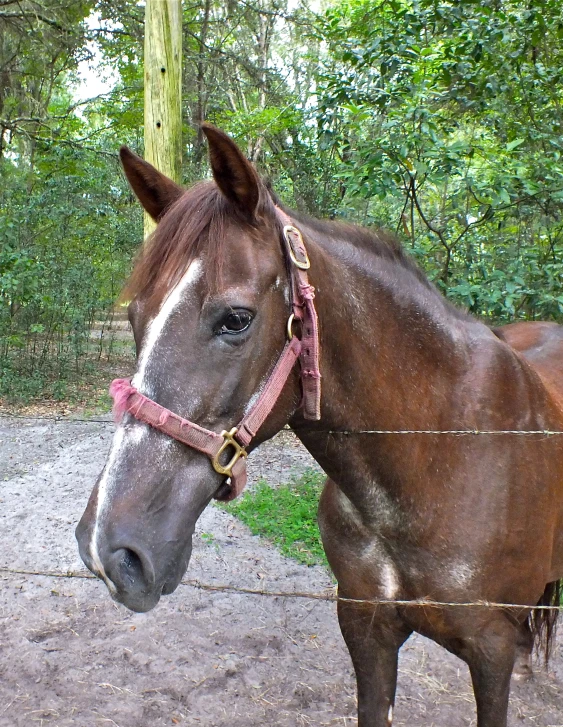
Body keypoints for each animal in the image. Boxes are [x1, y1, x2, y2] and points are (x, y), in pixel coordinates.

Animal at [76, 126, 563, 727]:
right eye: (133, 316)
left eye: (236, 319)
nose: (110, 552)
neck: (439, 456)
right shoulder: (365, 628)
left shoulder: (490, 652)